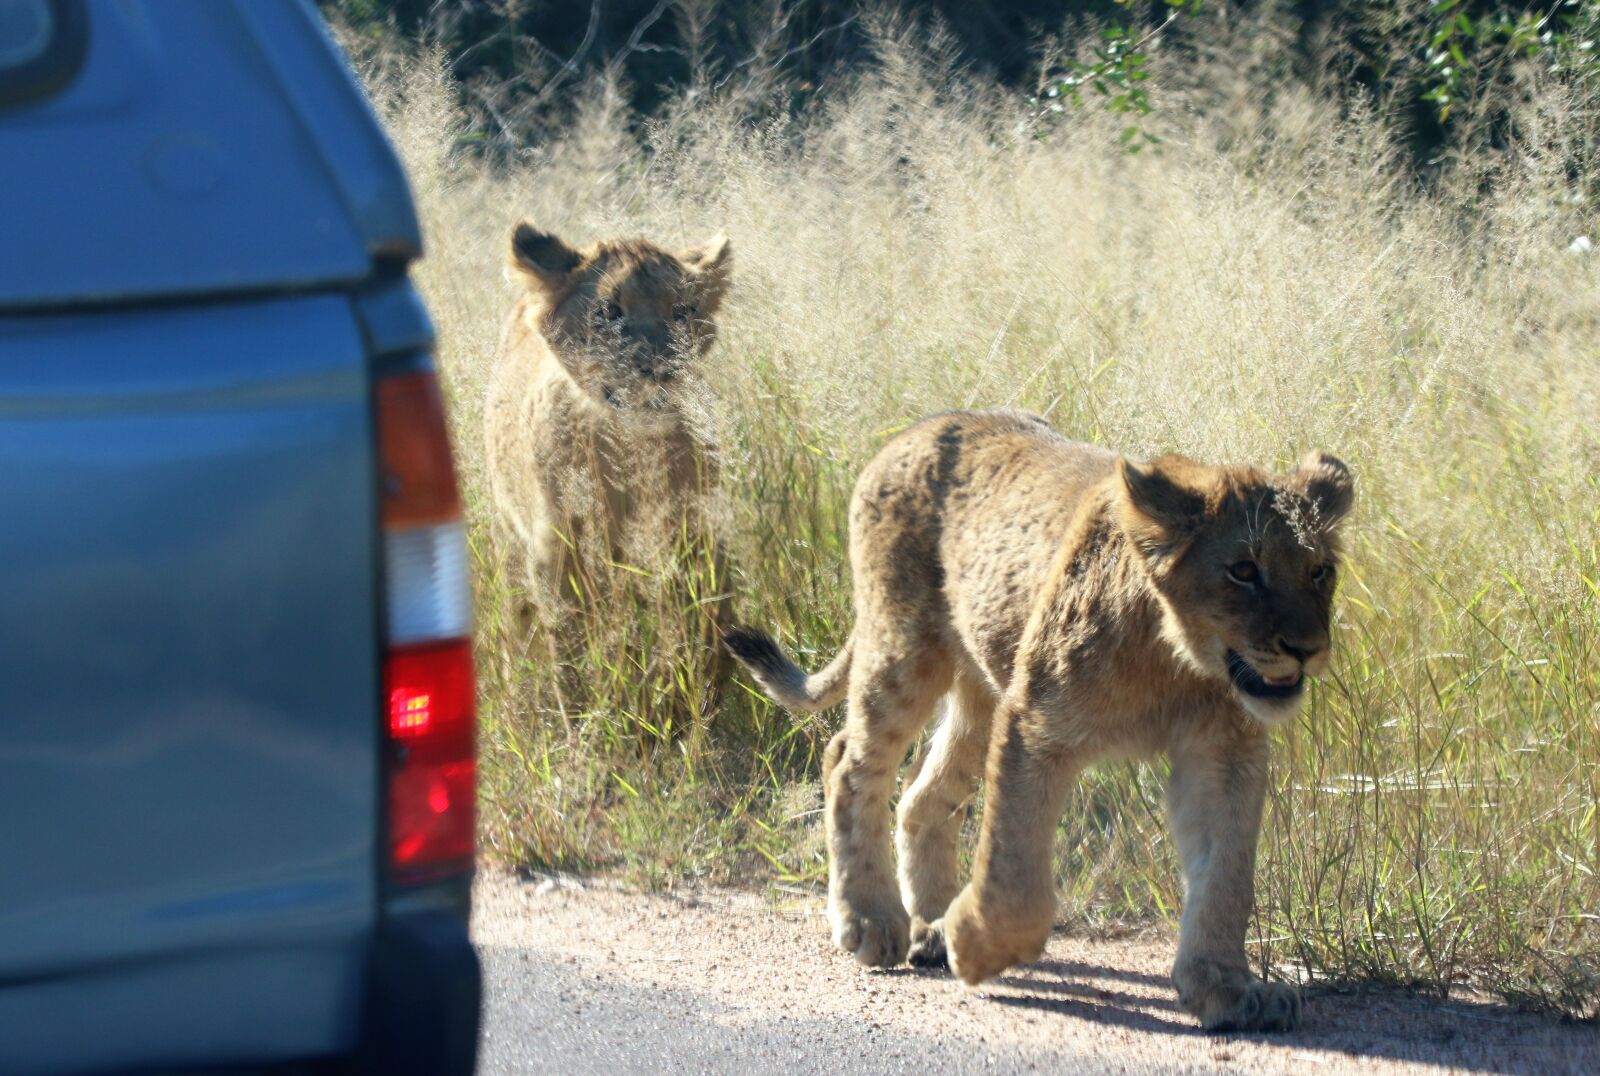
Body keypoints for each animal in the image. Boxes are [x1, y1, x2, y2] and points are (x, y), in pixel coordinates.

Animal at [724, 410, 1353, 1032]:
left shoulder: (1223, 753)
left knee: (923, 796)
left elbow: (1226, 874)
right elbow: (1016, 875)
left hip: (980, 689)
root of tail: (916, 428)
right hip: (903, 648)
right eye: (1243, 570)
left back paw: (928, 928)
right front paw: (973, 945)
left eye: (1320, 571)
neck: (1177, 661)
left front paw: (1225, 988)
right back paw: (874, 921)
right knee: (847, 761)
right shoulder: (1035, 723)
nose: (1306, 649)